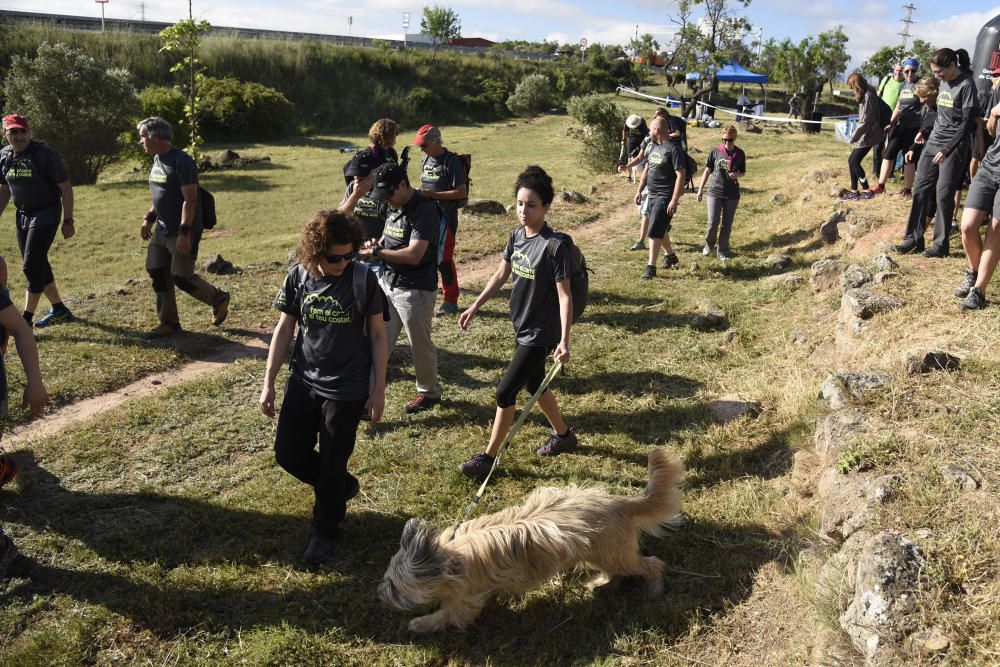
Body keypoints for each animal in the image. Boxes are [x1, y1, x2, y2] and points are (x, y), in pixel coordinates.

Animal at [378, 448, 684, 632]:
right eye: (387, 580)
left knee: (652, 563)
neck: (449, 557)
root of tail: (620, 502)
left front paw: (421, 623)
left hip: (613, 552)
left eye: (394, 586)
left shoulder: (467, 598)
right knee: (616, 571)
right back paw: (597, 582)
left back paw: (654, 589)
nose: (380, 593)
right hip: (600, 552)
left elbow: (450, 614)